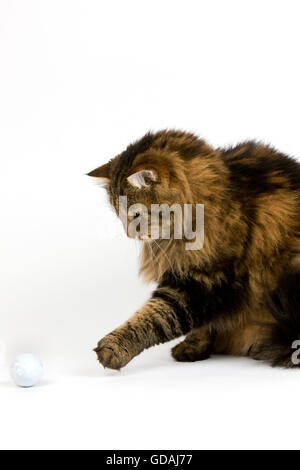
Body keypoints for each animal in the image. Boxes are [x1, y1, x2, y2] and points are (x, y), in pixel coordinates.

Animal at [88, 130, 300, 370]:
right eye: (119, 215)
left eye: (136, 215)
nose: (128, 234)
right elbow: (204, 326)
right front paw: (193, 347)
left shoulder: (203, 282)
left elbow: (154, 319)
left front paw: (113, 348)